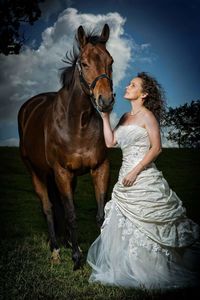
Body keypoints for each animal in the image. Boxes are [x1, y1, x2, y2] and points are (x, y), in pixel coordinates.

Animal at [18, 24, 115, 270]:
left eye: (110, 61)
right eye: (84, 63)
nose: (105, 101)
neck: (77, 123)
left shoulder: (100, 168)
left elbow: (100, 214)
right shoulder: (61, 172)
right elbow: (70, 215)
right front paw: (77, 259)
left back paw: (69, 243)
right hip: (36, 172)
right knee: (49, 209)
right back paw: (56, 250)